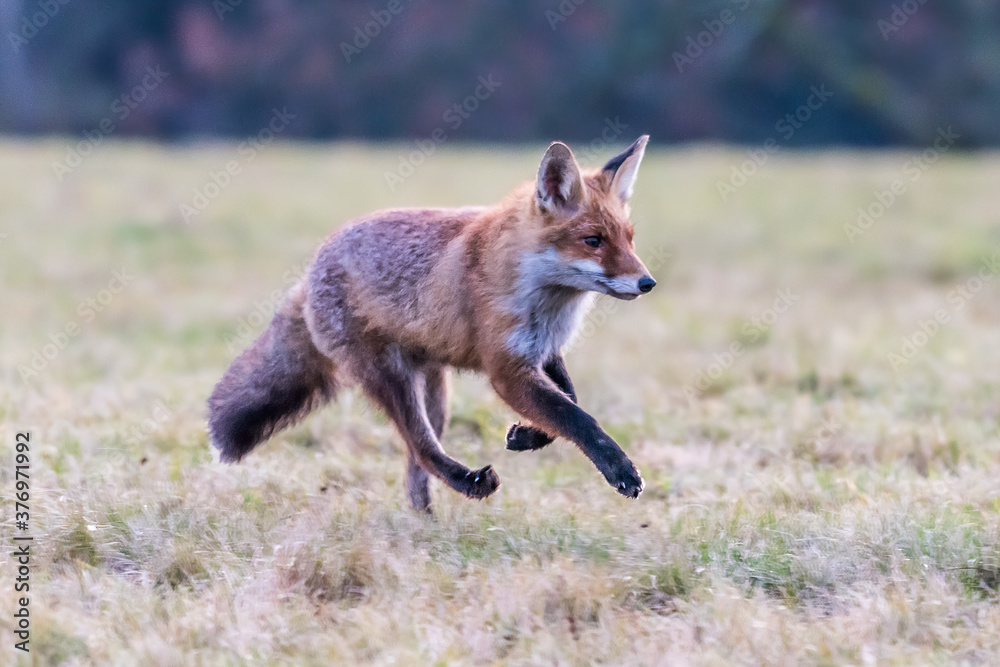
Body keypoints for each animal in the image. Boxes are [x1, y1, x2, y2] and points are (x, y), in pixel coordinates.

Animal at [208, 136, 657, 512]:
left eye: (630, 239)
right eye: (593, 241)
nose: (647, 282)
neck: (544, 295)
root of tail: (312, 267)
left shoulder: (543, 351)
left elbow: (569, 404)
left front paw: (527, 436)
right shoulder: (506, 368)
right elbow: (576, 417)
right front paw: (620, 469)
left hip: (436, 391)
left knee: (415, 463)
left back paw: (424, 525)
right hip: (393, 379)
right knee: (422, 448)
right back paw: (469, 484)